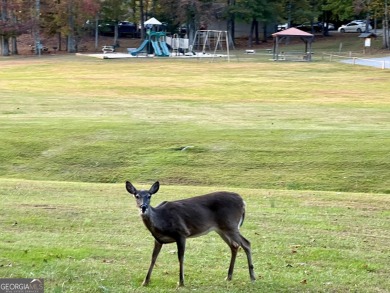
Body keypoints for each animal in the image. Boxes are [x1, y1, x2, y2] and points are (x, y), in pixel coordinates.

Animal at [125, 180, 256, 286]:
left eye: (149, 196)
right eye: (136, 196)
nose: (143, 207)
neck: (161, 221)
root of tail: (242, 201)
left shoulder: (181, 233)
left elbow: (181, 257)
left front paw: (181, 282)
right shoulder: (158, 239)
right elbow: (153, 258)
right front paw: (145, 282)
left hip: (231, 225)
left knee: (247, 243)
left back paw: (252, 277)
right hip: (222, 229)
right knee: (234, 246)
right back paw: (228, 276)